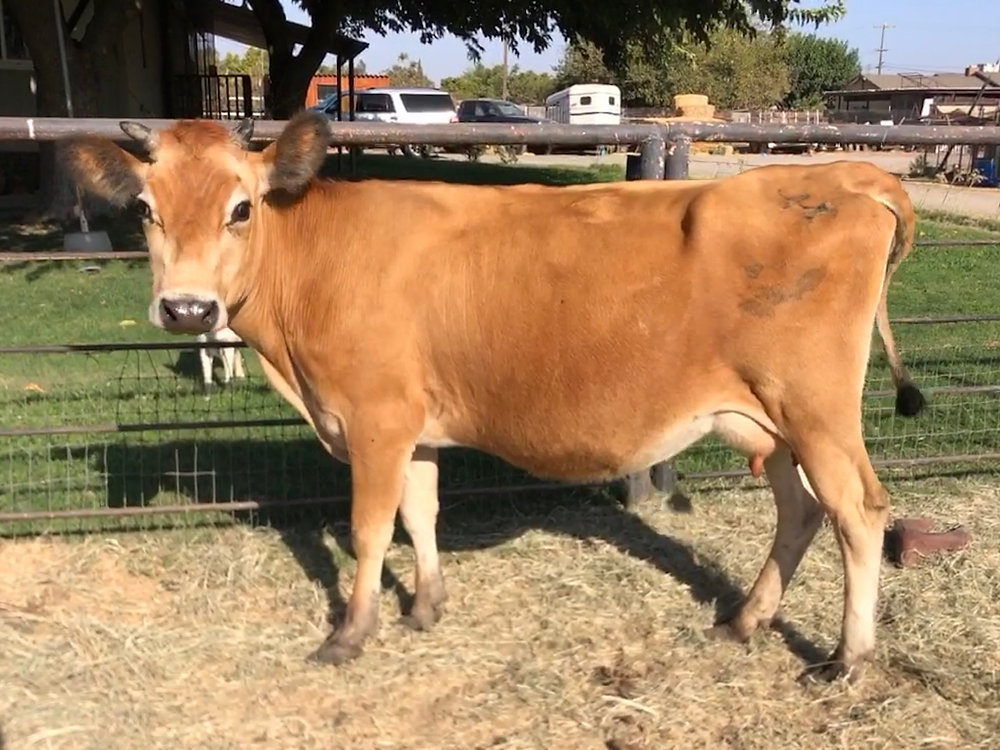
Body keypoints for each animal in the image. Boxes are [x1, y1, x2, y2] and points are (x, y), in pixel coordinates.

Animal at [61, 112, 925, 682]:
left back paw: (846, 659)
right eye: (145, 209)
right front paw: (425, 609)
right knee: (801, 511)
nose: (187, 310)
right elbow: (421, 513)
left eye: (241, 207)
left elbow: (370, 530)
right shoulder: (413, 424)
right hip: (765, 419)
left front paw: (350, 635)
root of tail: (844, 174)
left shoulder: (374, 418)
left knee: (858, 512)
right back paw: (745, 621)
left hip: (816, 408)